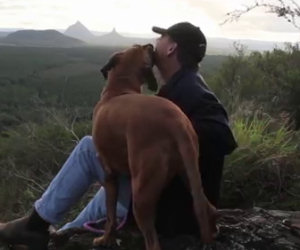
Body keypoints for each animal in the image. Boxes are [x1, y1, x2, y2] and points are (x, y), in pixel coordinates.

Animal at [92, 44, 217, 249]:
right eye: (140, 47)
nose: (150, 45)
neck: (120, 88)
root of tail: (177, 122)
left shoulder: (109, 176)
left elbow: (110, 215)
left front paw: (105, 239)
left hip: (141, 195)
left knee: (152, 241)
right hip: (188, 173)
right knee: (207, 207)